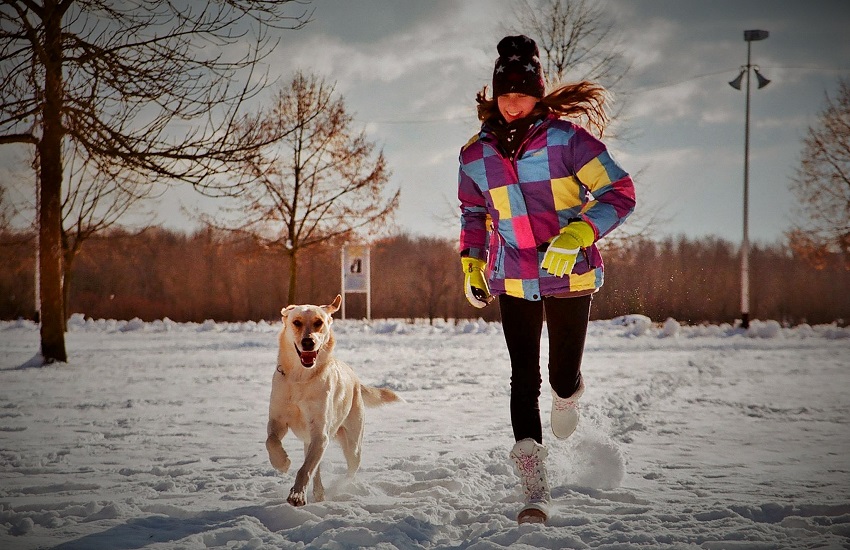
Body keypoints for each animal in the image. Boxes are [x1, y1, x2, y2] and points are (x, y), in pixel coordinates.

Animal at [264, 296, 400, 506]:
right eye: (297, 322)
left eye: (319, 322)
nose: (308, 342)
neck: (301, 378)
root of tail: (355, 378)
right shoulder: (278, 420)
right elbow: (271, 441)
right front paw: (282, 462)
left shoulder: (320, 433)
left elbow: (305, 469)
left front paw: (297, 495)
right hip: (312, 440)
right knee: (315, 466)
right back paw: (319, 492)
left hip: (352, 444)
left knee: (349, 468)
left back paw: (339, 486)